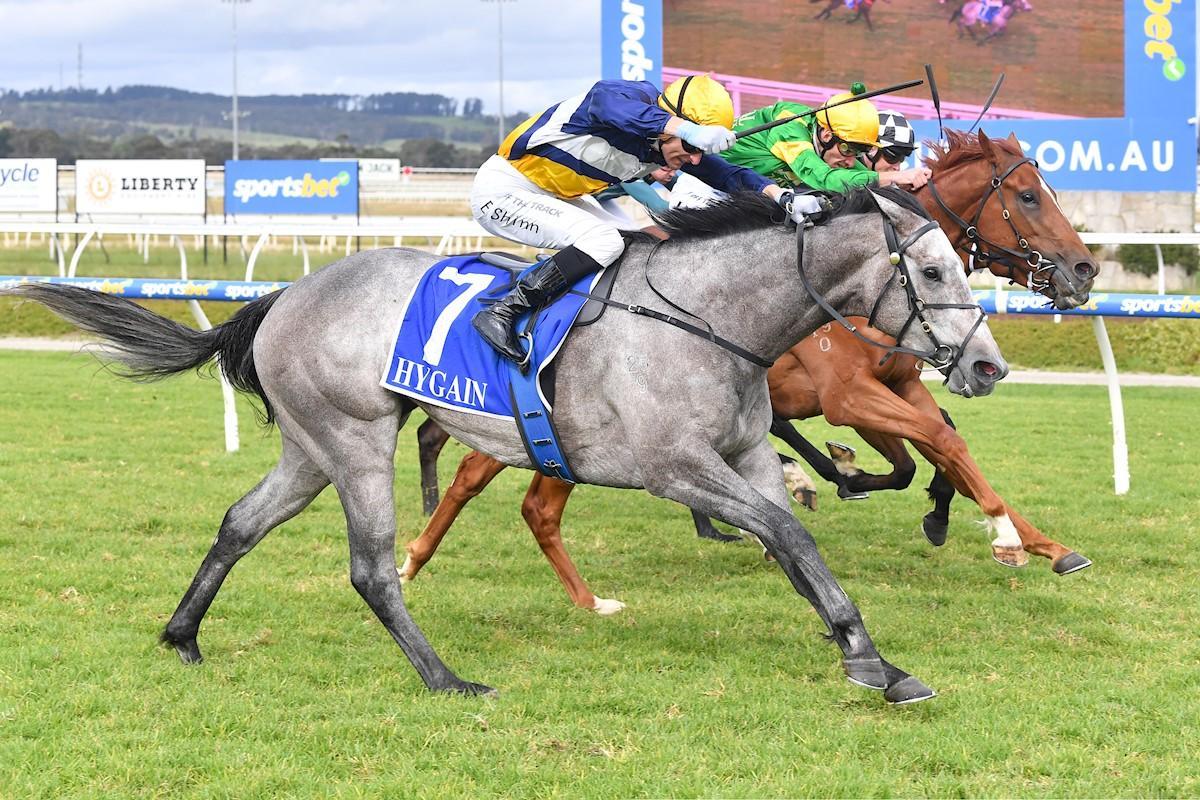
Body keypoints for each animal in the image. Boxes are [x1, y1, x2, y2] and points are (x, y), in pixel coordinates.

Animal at [4, 186, 1008, 704]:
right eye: (929, 271)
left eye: (963, 264)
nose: (989, 364)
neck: (708, 317)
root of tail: (285, 294)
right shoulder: (672, 468)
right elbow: (789, 534)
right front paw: (868, 658)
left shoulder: (746, 456)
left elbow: (796, 544)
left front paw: (870, 654)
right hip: (354, 442)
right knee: (371, 567)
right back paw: (446, 678)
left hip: (309, 449)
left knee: (240, 522)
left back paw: (182, 636)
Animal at [401, 130, 1097, 617]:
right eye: (1028, 196)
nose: (1083, 269)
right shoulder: (846, 395)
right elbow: (931, 442)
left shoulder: (894, 384)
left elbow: (944, 442)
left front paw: (1033, 540)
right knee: (470, 471)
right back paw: (414, 556)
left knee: (531, 496)